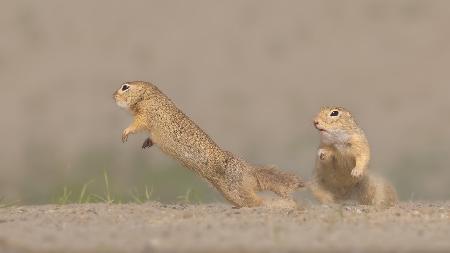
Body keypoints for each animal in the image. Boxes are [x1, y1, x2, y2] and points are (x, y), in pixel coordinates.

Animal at [112, 81, 304, 208]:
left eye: (125, 87)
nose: (112, 95)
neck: (150, 97)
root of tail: (248, 170)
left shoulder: (146, 115)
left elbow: (137, 125)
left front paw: (125, 133)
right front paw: (146, 142)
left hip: (235, 190)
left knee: (257, 201)